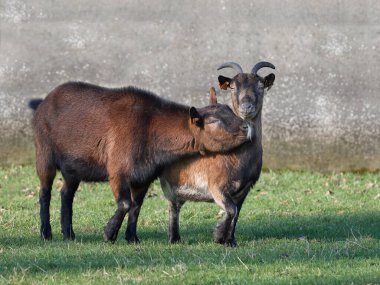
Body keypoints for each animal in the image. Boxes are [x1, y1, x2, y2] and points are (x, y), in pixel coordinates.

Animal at [29, 81, 249, 241]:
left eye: (229, 109)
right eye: (215, 121)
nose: (246, 127)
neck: (150, 128)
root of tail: (42, 103)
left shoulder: (144, 176)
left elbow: (136, 206)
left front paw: (132, 237)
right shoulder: (117, 171)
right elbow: (126, 203)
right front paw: (109, 234)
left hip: (73, 168)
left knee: (66, 193)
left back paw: (68, 234)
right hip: (44, 153)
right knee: (45, 192)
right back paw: (46, 233)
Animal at [159, 61, 274, 245]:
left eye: (261, 85)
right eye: (233, 87)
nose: (246, 107)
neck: (235, 157)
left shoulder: (245, 189)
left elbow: (237, 213)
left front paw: (230, 241)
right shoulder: (216, 186)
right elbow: (231, 210)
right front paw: (219, 236)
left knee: (175, 205)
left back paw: (175, 238)